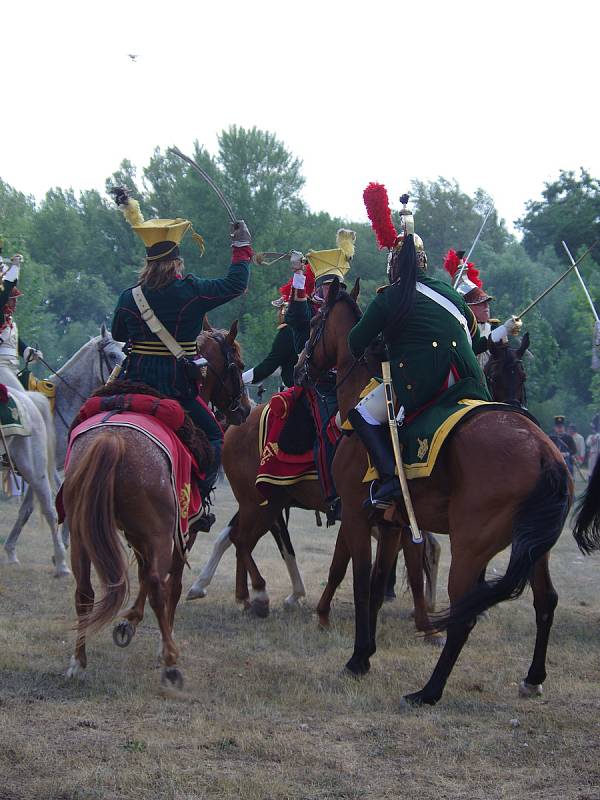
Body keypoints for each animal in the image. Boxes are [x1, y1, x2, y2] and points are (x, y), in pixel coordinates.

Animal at [66, 320, 251, 688]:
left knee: (84, 592)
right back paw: (170, 662)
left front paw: (128, 622)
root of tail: (111, 439)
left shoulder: (142, 534)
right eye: (236, 364)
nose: (244, 408)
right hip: (159, 534)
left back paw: (78, 662)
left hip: (82, 535)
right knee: (156, 584)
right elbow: (172, 585)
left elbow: (142, 573)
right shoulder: (180, 531)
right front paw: (142, 628)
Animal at [296, 280, 572, 708]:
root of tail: (546, 453)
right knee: (546, 601)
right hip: (533, 549)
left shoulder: (358, 517)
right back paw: (533, 678)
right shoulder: (392, 524)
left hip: (471, 545)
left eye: (313, 324)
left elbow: (360, 584)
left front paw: (356, 659)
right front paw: (365, 654)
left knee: (464, 614)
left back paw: (428, 691)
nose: (299, 367)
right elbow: (378, 585)